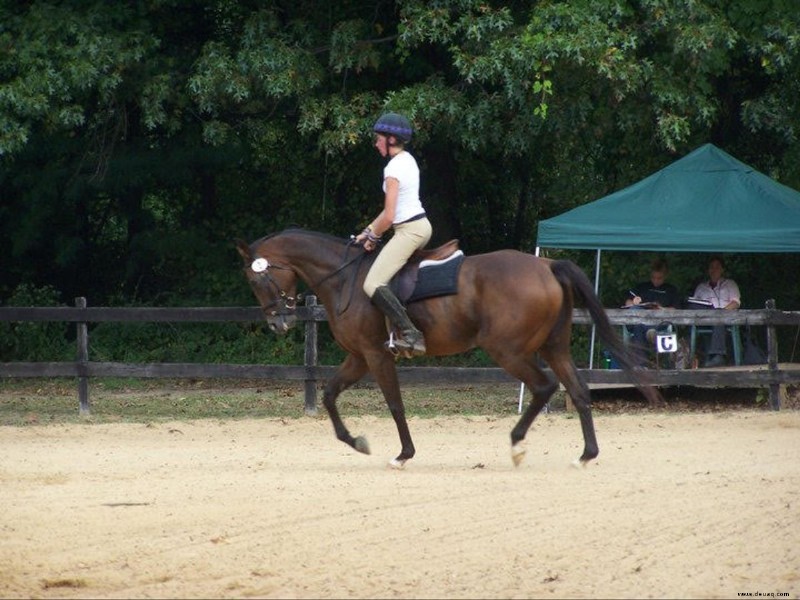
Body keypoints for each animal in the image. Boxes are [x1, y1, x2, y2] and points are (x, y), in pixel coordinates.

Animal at [234, 227, 660, 466]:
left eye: (256, 280)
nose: (278, 323)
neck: (344, 278)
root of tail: (546, 265)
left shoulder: (374, 354)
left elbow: (394, 404)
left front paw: (403, 455)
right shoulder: (358, 356)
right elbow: (328, 394)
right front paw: (356, 442)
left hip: (508, 350)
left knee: (544, 387)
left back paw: (517, 445)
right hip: (554, 347)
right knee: (579, 390)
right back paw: (586, 455)